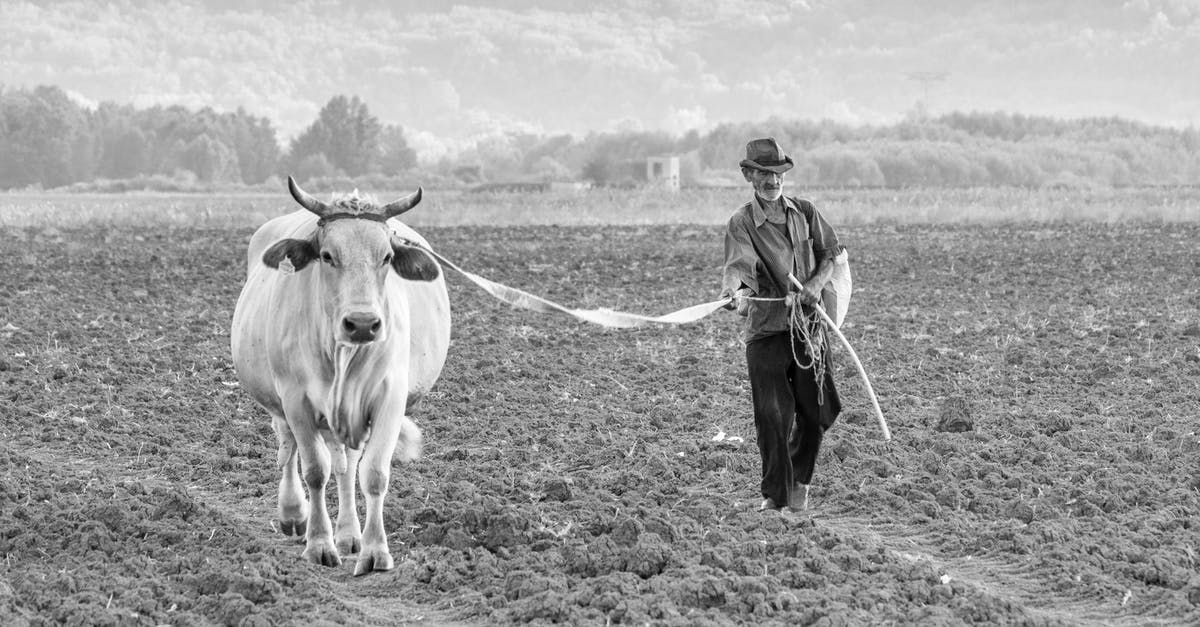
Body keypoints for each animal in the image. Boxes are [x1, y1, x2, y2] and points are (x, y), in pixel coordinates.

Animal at [229, 174, 451, 571]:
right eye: (328, 255)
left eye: (387, 256)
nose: (362, 323)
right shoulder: (296, 401)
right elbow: (315, 470)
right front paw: (319, 542)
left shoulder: (389, 401)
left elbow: (373, 473)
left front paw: (375, 550)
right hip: (281, 406)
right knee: (289, 450)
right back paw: (293, 514)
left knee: (346, 465)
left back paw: (349, 534)